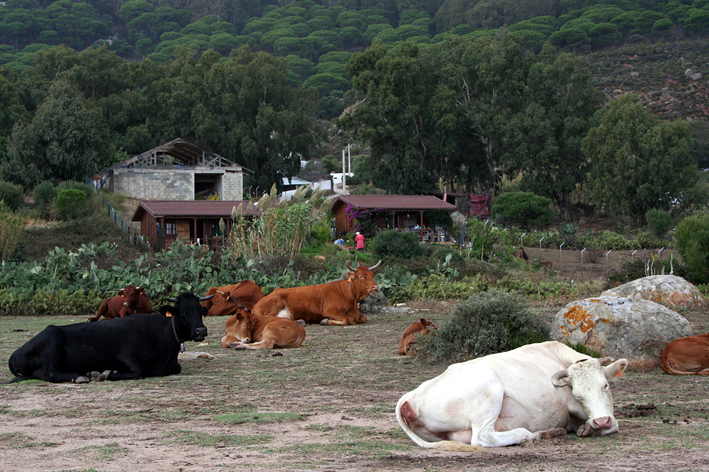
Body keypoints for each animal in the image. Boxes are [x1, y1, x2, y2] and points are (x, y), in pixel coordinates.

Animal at [6, 292, 212, 384]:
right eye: (184, 311)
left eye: (201, 311)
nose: (201, 331)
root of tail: (14, 353)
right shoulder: (125, 354)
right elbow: (139, 371)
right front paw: (107, 373)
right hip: (53, 341)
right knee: (49, 374)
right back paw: (82, 376)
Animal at [250, 260, 378, 326]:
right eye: (361, 276)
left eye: (372, 275)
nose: (376, 287)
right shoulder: (329, 310)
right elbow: (345, 320)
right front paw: (325, 321)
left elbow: (364, 318)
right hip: (276, 300)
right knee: (268, 318)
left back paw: (299, 321)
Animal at [396, 340, 628, 450]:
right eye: (577, 395)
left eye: (605, 385)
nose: (601, 420)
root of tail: (410, 396)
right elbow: (615, 424)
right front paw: (593, 427)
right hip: (491, 388)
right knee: (482, 438)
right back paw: (531, 435)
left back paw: (547, 433)